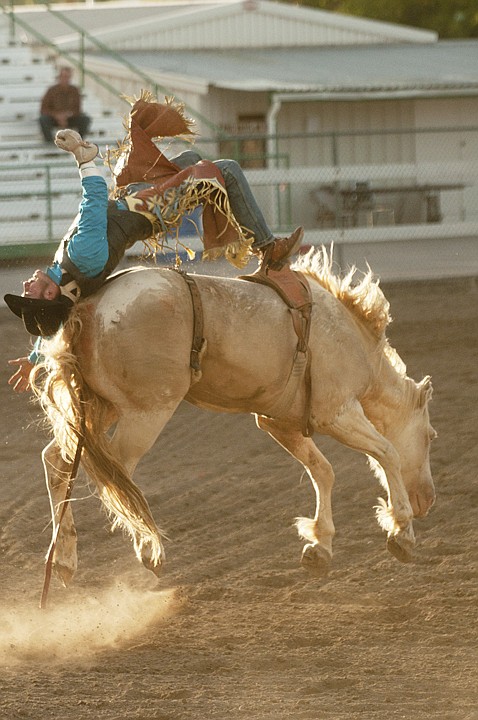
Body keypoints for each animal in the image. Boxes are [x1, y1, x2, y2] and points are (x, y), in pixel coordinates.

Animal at [34, 248, 436, 584]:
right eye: (431, 436)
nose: (428, 501)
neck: (349, 337)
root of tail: (88, 307)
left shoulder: (281, 423)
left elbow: (324, 472)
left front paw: (320, 547)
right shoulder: (337, 414)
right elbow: (387, 453)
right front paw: (402, 530)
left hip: (99, 408)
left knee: (58, 462)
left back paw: (63, 559)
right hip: (143, 415)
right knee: (116, 481)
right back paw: (148, 550)